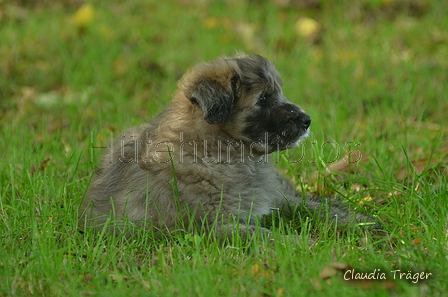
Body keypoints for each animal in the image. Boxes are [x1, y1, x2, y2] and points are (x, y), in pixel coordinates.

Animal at [78, 54, 378, 242]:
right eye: (264, 98)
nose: (307, 120)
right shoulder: (217, 226)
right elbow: (267, 236)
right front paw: (306, 246)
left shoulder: (272, 199)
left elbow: (309, 207)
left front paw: (357, 221)